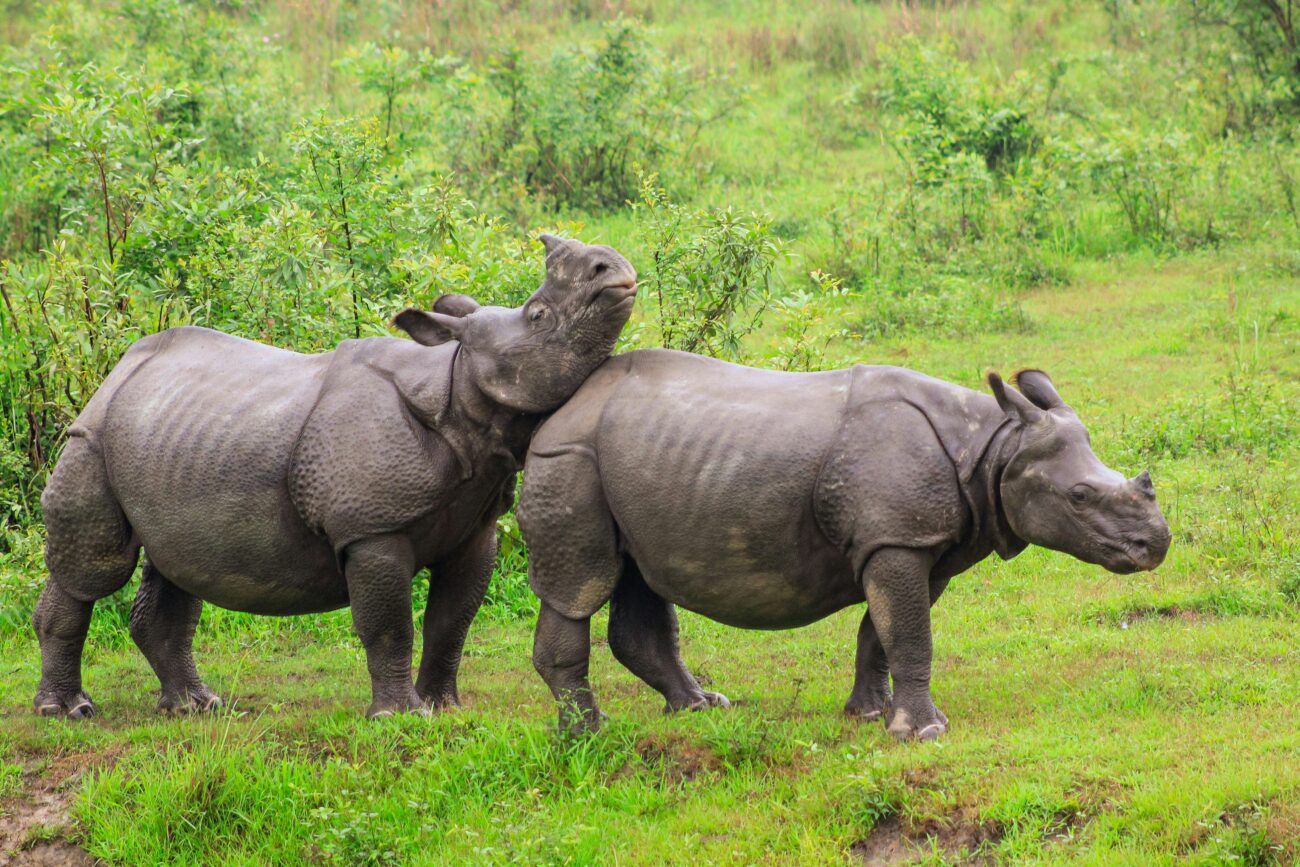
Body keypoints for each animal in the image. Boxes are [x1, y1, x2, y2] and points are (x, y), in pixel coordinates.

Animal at [33, 235, 636, 719]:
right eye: (538, 315)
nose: (612, 269)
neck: (457, 388)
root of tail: (118, 369)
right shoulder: (370, 528)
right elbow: (390, 623)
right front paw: (401, 718)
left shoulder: (474, 528)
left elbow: (452, 620)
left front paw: (446, 709)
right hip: (91, 436)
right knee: (94, 569)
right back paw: (69, 712)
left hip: (171, 436)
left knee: (176, 565)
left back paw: (195, 707)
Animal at [518, 352, 1171, 740]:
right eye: (1080, 496)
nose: (1156, 544)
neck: (992, 446)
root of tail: (564, 406)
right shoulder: (897, 537)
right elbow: (909, 632)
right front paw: (924, 733)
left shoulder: (913, 541)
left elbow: (882, 631)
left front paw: (870, 715)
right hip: (568, 456)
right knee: (581, 583)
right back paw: (589, 732)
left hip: (633, 462)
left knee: (639, 577)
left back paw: (702, 707)